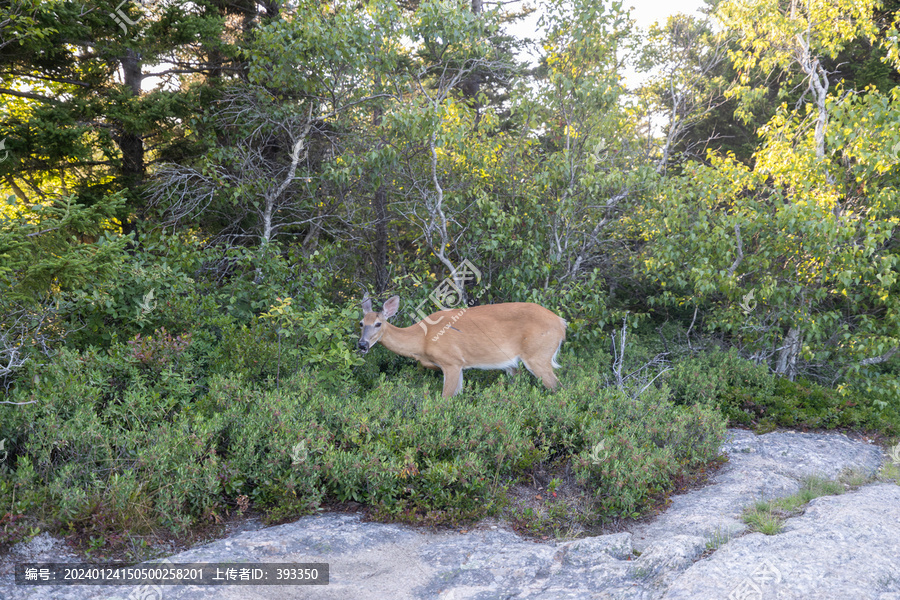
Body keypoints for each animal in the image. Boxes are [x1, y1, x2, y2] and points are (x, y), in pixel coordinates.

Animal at [356, 296, 564, 398]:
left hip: (538, 354)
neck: (422, 339)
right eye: (360, 323)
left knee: (558, 387)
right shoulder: (458, 366)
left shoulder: (452, 361)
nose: (362, 345)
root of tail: (561, 323)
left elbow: (445, 398)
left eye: (378, 324)